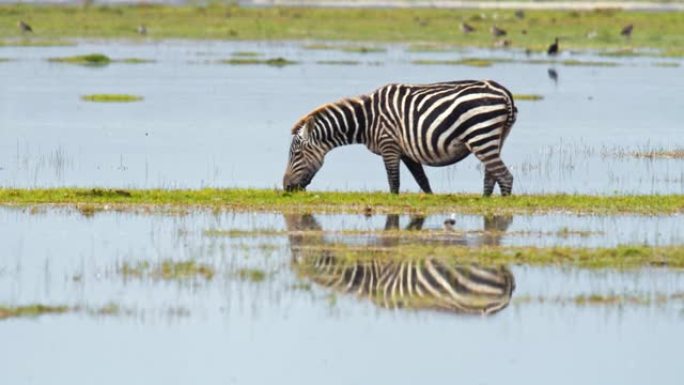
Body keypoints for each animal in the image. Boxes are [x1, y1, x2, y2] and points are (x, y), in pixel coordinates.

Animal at [284, 80, 520, 195]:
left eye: (296, 154)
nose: (286, 187)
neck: (367, 120)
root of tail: (504, 92)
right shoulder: (407, 151)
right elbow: (423, 181)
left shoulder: (389, 145)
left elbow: (394, 182)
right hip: (496, 138)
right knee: (491, 176)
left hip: (481, 136)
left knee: (505, 177)